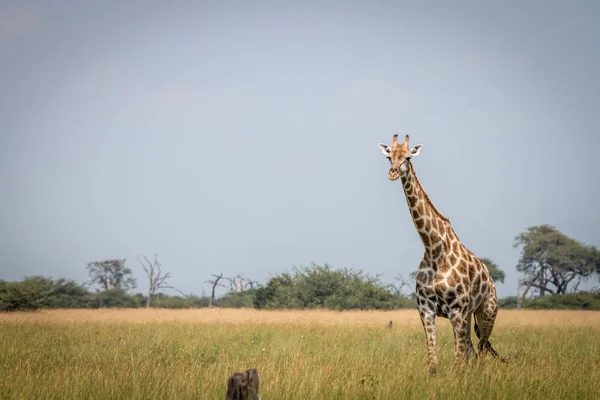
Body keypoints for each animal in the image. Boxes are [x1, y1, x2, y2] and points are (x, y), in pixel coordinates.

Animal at [378, 134, 500, 372]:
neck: (434, 249)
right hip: (470, 315)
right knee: (473, 349)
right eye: (389, 157)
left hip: (487, 311)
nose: (393, 172)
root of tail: (490, 278)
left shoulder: (456, 310)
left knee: (481, 347)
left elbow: (458, 359)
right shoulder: (425, 309)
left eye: (408, 157)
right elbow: (433, 361)